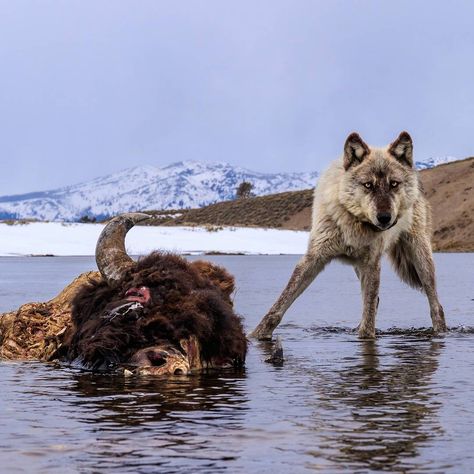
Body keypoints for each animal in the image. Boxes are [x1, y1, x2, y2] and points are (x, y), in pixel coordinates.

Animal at [250, 131, 446, 338]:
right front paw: (257, 334)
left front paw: (366, 336)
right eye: (368, 185)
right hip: (361, 268)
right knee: (375, 302)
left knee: (435, 305)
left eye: (394, 184)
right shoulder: (315, 257)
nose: (385, 218)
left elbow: (368, 320)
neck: (354, 223)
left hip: (420, 259)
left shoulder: (372, 263)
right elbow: (280, 303)